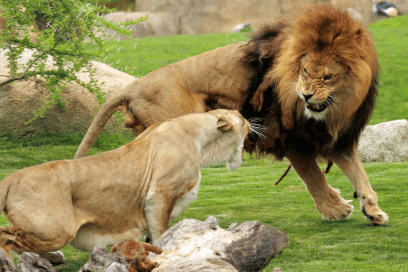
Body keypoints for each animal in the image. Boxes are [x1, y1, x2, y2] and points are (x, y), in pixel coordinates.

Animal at [0, 110, 249, 260]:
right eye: (241, 117)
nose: (250, 120)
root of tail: (10, 178)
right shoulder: (160, 194)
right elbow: (162, 232)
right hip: (57, 230)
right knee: (6, 238)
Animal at [74, 4, 388, 225]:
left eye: (327, 77)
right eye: (304, 71)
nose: (306, 95)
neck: (338, 108)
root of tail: (134, 85)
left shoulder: (337, 138)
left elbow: (360, 176)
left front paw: (373, 211)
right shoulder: (292, 139)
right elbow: (314, 178)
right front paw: (336, 210)